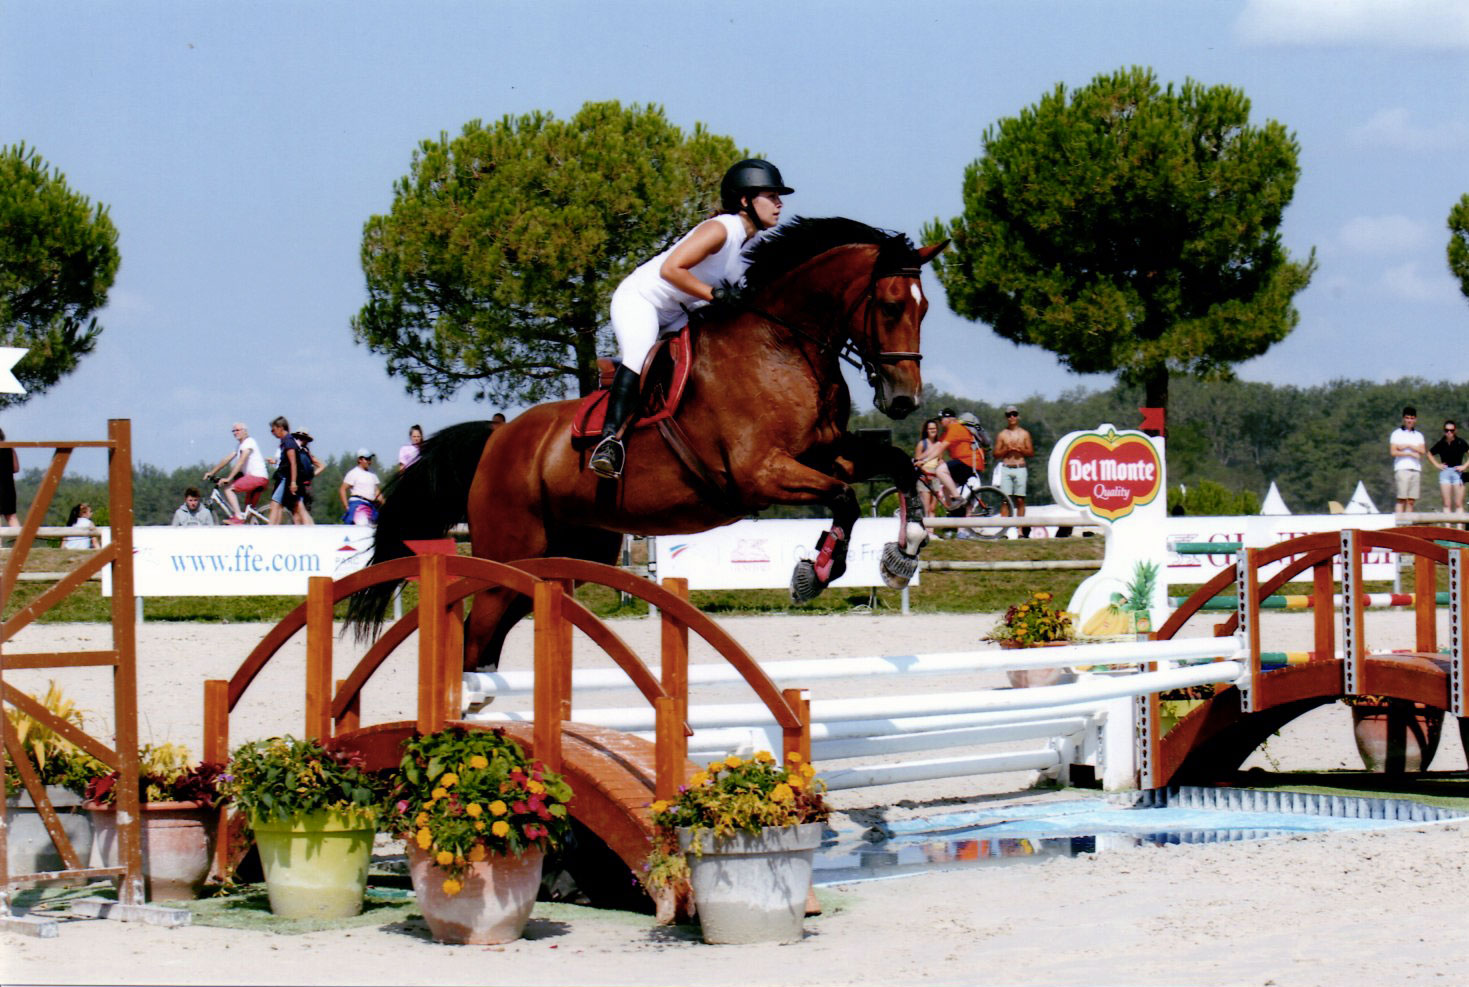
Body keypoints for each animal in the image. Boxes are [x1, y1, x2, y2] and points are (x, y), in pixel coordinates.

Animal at [347, 217, 946, 671]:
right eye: (891, 305)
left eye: (924, 310)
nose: (903, 400)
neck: (782, 343)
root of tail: (498, 437)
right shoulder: (759, 473)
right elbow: (844, 496)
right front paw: (813, 574)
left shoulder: (822, 452)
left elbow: (897, 466)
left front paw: (903, 553)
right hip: (510, 552)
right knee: (477, 632)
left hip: (560, 558)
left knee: (490, 635)